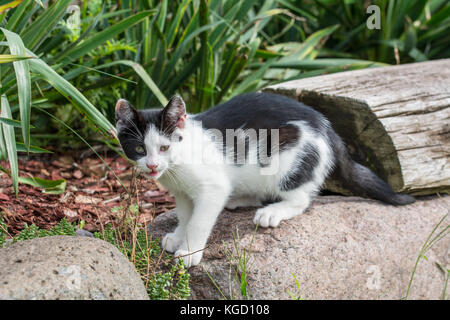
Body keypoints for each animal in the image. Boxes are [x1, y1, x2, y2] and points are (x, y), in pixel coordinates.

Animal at [116, 92, 414, 268]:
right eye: (140, 149)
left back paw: (273, 212)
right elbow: (185, 214)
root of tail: (328, 129)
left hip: (287, 163)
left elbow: (199, 221)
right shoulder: (182, 191)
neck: (177, 165)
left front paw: (189, 252)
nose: (152, 165)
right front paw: (178, 237)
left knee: (302, 198)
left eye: (164, 147)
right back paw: (240, 199)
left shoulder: (213, 187)